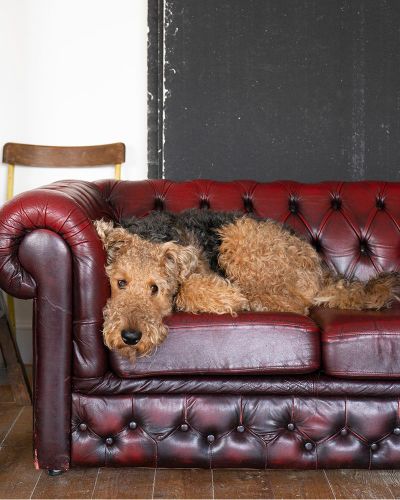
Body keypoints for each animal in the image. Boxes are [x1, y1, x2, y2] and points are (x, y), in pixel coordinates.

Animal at [95, 209, 400, 361]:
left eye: (155, 288)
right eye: (120, 282)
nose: (130, 337)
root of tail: (320, 264)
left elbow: (187, 289)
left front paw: (227, 297)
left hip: (239, 237)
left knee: (294, 305)